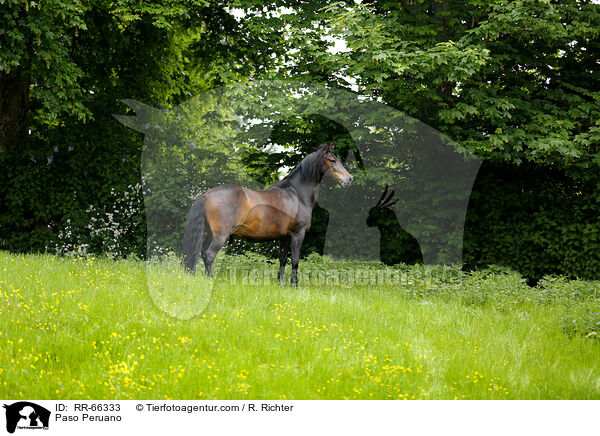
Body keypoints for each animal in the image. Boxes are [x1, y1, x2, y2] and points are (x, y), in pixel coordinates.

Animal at [180, 145, 354, 284]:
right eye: (332, 160)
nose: (349, 179)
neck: (296, 194)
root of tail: (207, 194)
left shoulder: (285, 237)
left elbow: (283, 260)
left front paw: (281, 283)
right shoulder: (298, 234)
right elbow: (295, 261)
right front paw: (294, 285)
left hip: (210, 233)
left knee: (203, 253)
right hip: (220, 236)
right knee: (209, 255)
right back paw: (210, 280)